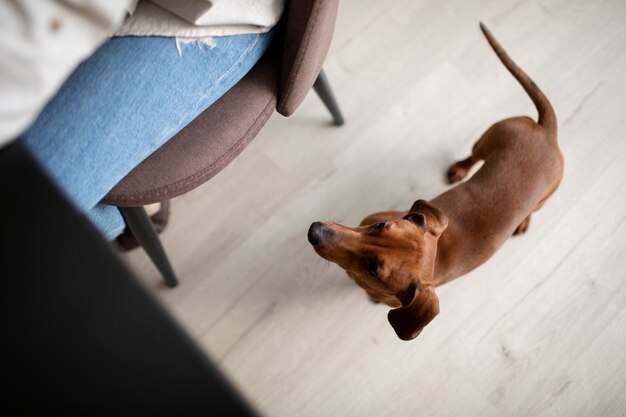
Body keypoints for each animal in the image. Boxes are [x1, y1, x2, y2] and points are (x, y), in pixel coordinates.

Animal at [306, 22, 560, 340]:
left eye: (373, 268)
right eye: (379, 225)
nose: (314, 231)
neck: (437, 258)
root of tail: (548, 133)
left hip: (542, 194)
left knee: (532, 207)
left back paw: (523, 220)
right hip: (488, 139)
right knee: (473, 156)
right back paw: (460, 170)